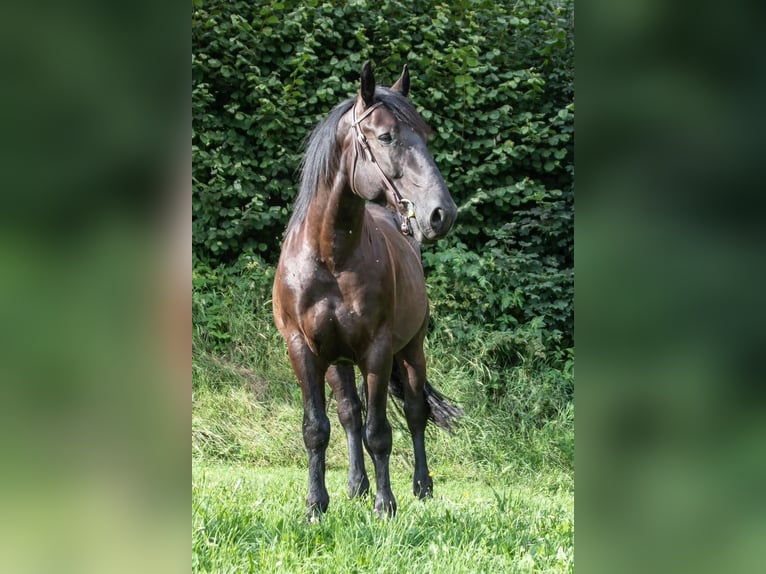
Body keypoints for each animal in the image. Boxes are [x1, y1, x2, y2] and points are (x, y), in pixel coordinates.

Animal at [272, 60, 460, 520]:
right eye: (386, 136)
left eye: (426, 136)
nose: (441, 213)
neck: (330, 256)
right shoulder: (304, 350)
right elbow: (317, 428)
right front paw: (316, 505)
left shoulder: (378, 349)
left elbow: (381, 431)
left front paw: (385, 505)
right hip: (339, 361)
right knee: (349, 414)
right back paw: (356, 486)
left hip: (411, 350)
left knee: (414, 411)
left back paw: (421, 486)